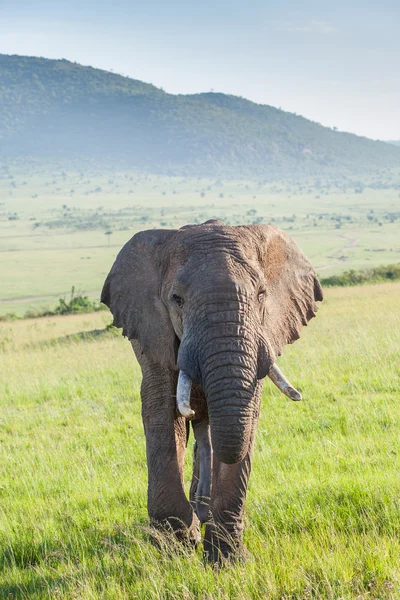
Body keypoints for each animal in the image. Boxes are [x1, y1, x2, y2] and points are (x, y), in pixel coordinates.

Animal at [101, 219, 324, 564]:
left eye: (261, 294)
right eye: (176, 299)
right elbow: (162, 413)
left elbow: (247, 417)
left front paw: (227, 560)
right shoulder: (153, 336)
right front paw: (176, 546)